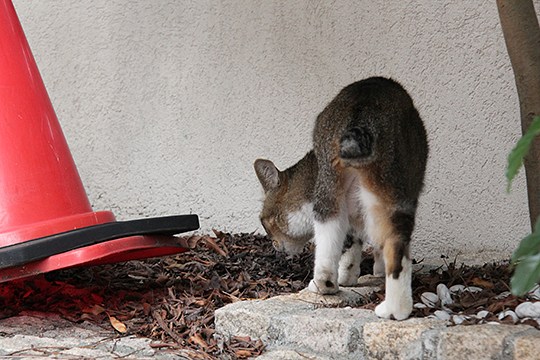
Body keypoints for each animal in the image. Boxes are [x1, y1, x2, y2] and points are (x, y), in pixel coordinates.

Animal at [255, 77, 428, 320]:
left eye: (264, 223)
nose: (273, 245)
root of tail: (361, 117)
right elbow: (359, 243)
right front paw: (367, 272)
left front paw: (349, 277)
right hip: (393, 189)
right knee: (396, 246)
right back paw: (395, 310)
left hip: (336, 188)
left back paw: (324, 285)